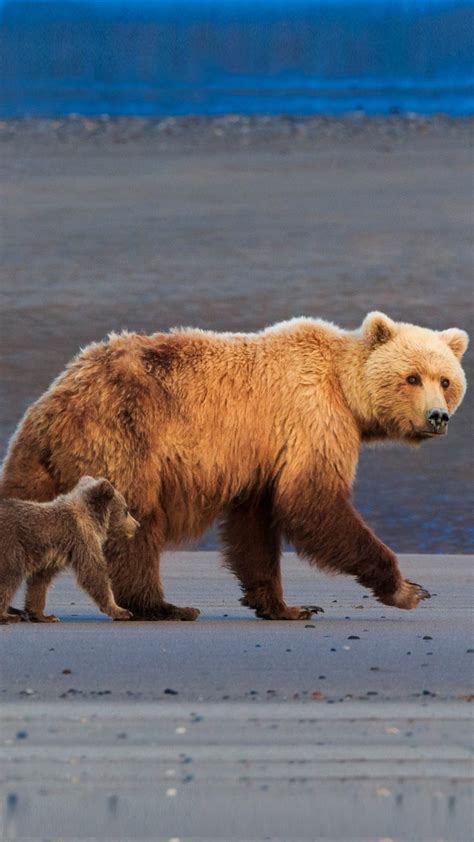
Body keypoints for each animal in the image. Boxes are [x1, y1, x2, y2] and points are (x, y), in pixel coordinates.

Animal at [0, 476, 139, 620]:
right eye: (126, 510)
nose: (137, 525)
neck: (91, 519)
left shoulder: (53, 555)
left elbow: (40, 581)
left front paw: (43, 615)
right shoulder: (82, 538)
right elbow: (93, 572)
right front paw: (121, 610)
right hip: (11, 544)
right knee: (9, 575)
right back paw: (8, 615)